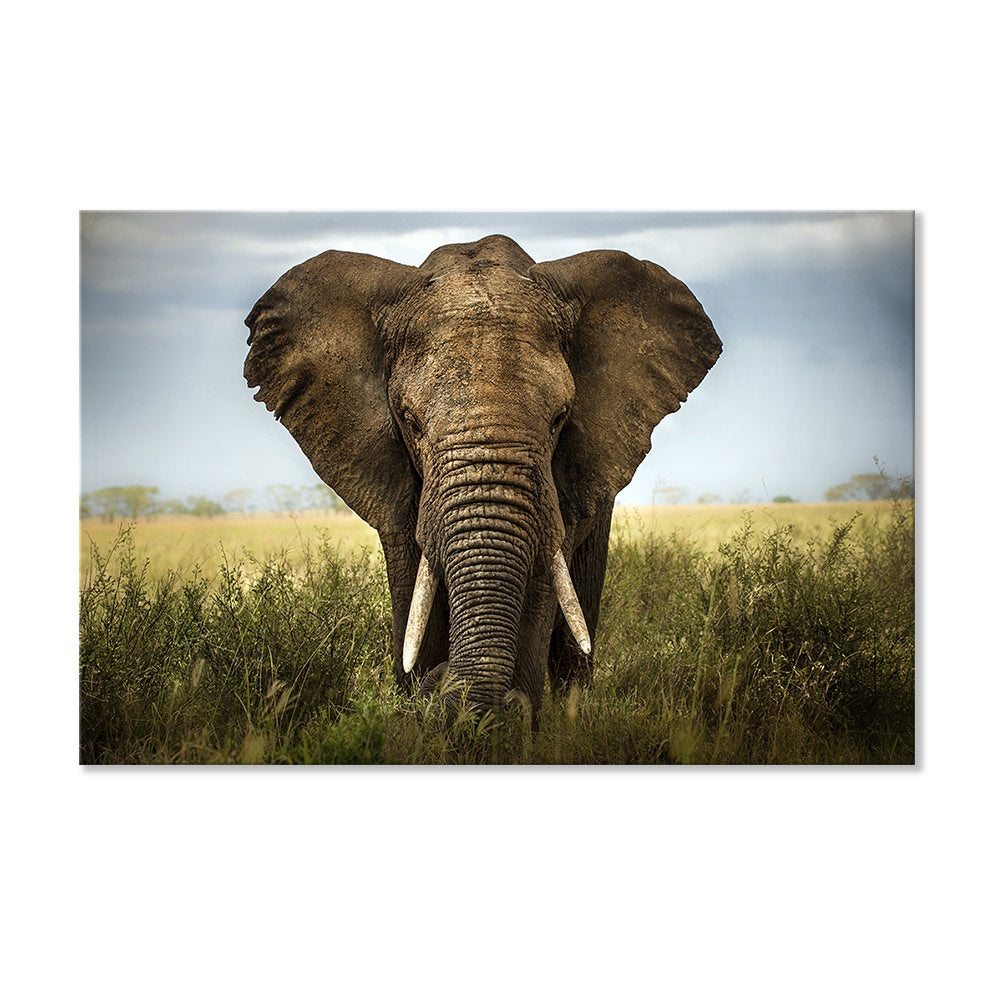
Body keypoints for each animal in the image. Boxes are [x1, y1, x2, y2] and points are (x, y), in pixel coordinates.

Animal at [243, 234, 721, 721]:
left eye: (560, 419)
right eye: (411, 422)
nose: (442, 681)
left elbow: (540, 585)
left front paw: (510, 721)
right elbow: (414, 591)